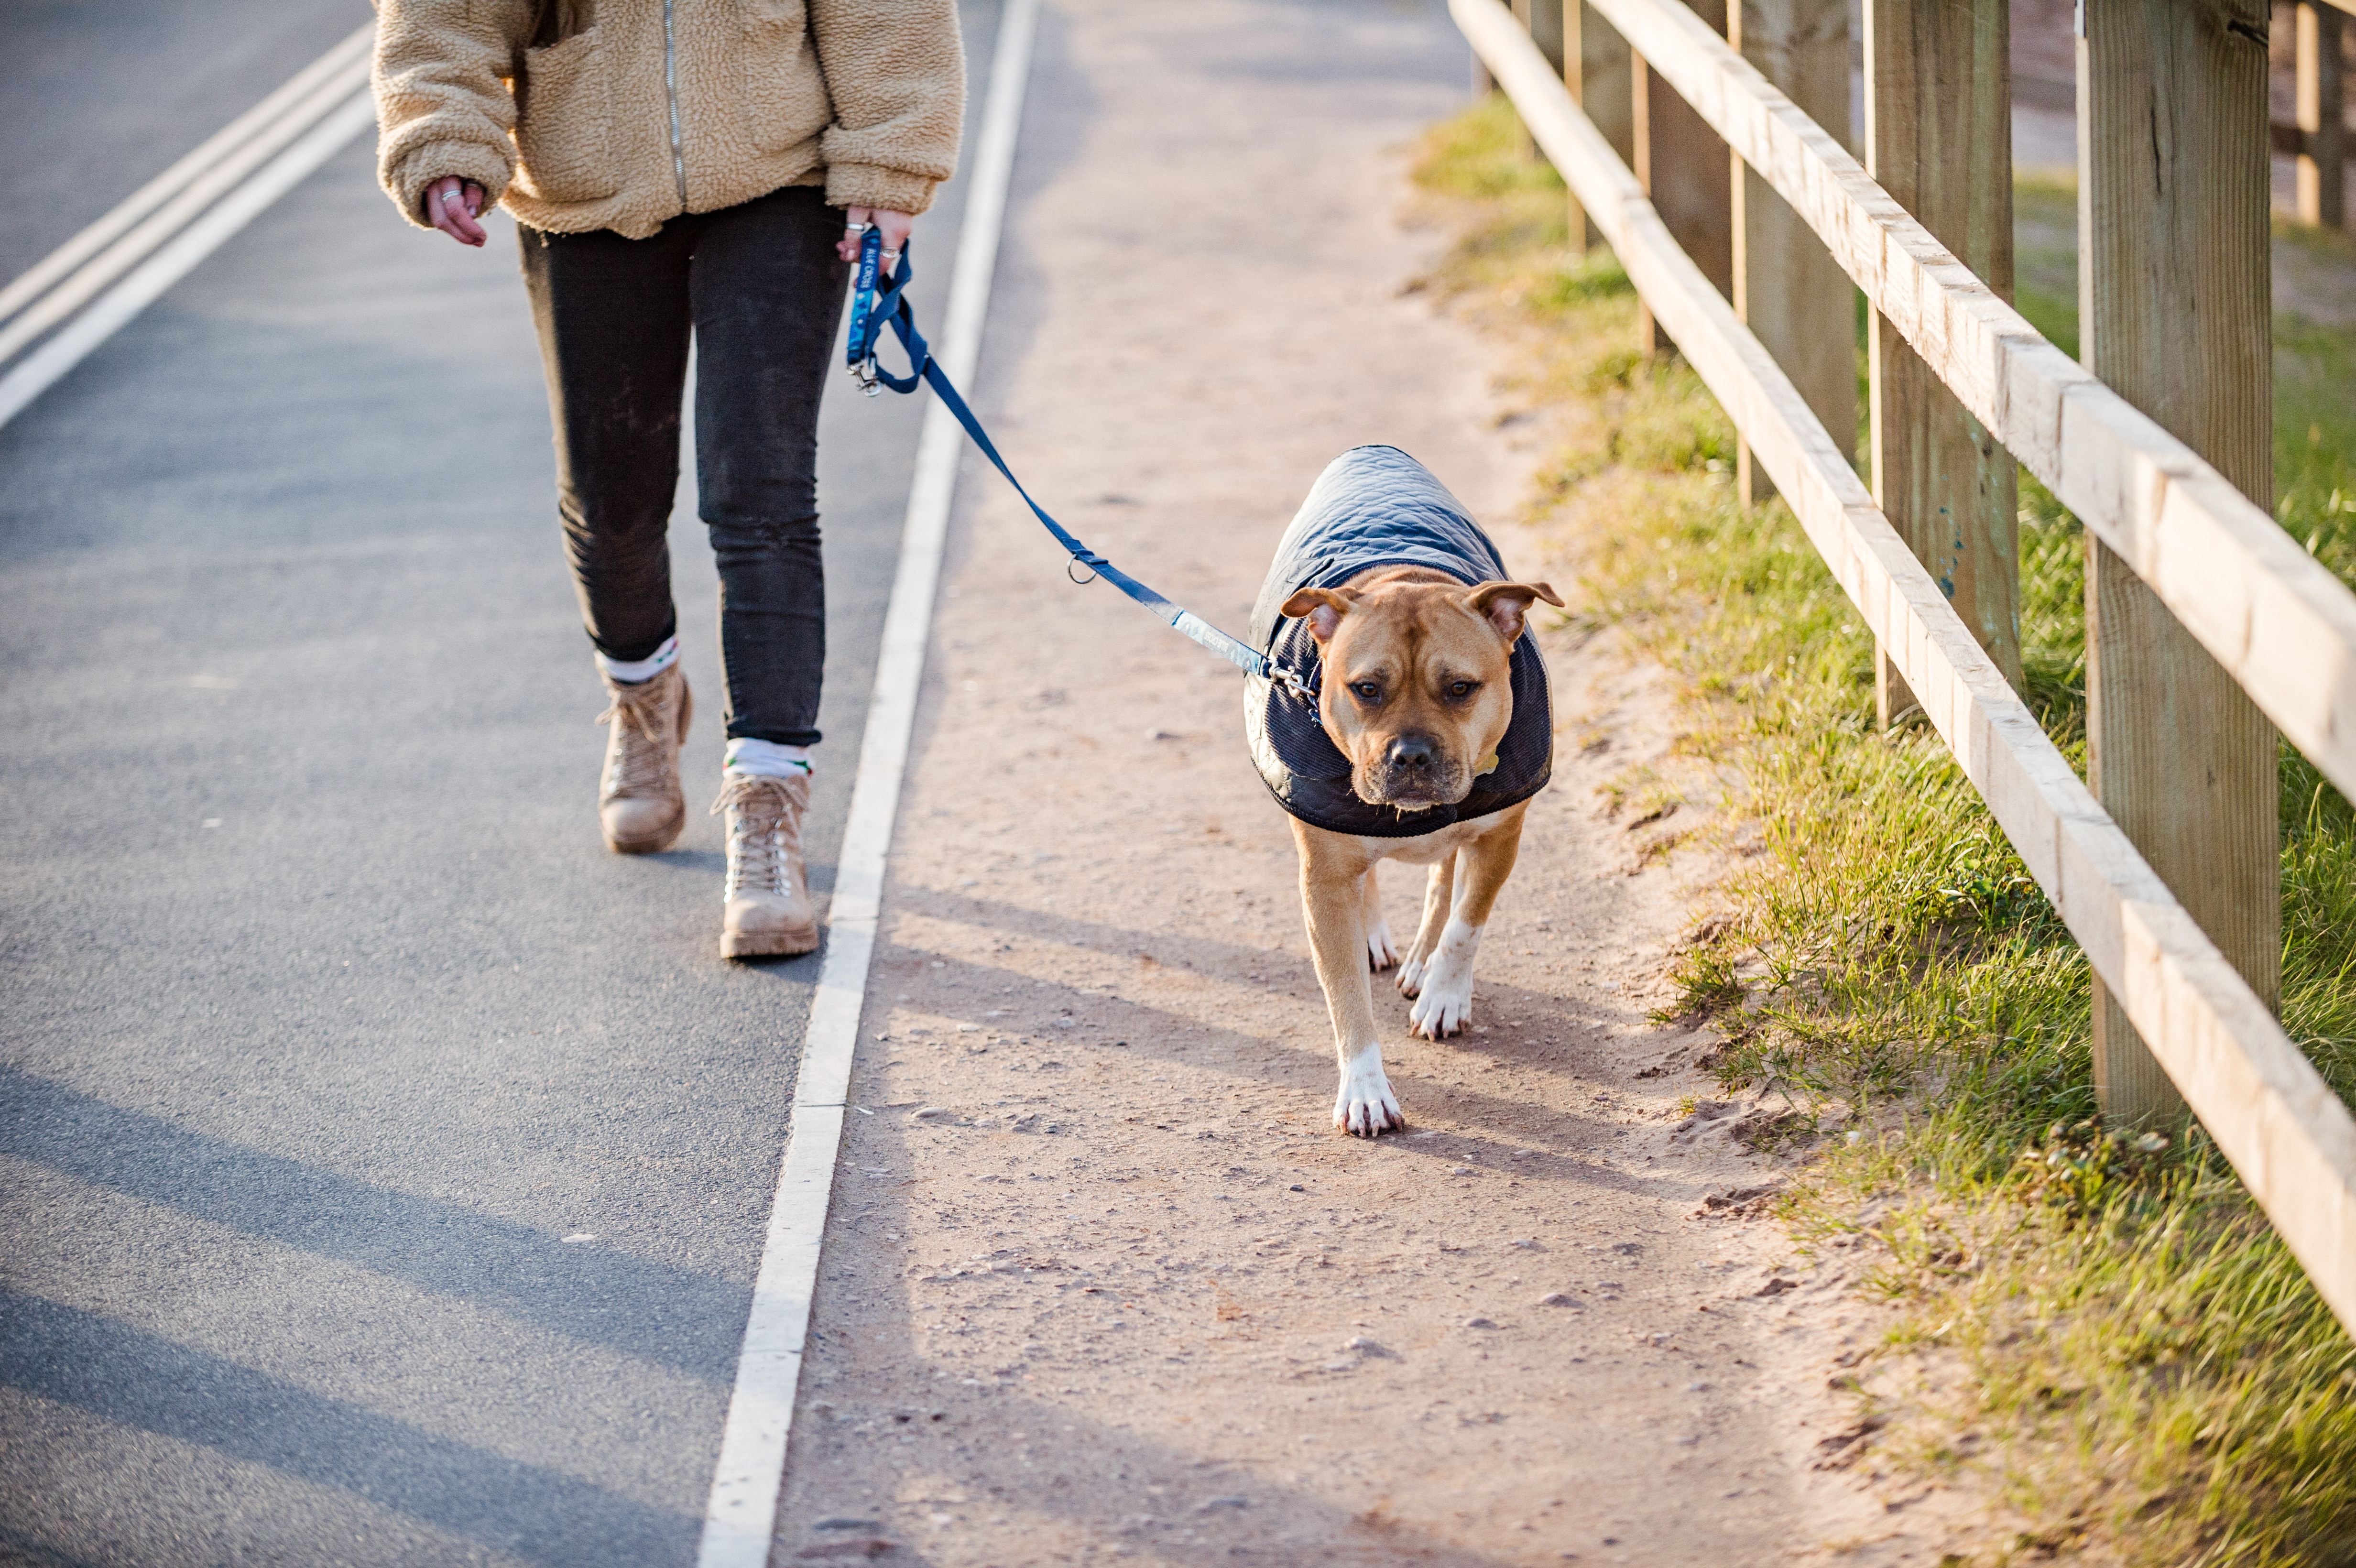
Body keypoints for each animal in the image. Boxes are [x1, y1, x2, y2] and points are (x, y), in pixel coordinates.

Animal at [1272, 567, 1564, 1130]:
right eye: (1366, 689)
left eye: (1460, 688)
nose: (1410, 755)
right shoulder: (1324, 876)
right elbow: (1345, 993)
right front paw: (1364, 1090)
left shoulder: (1498, 838)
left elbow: (1464, 926)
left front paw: (1443, 995)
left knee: (1443, 881)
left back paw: (1422, 965)